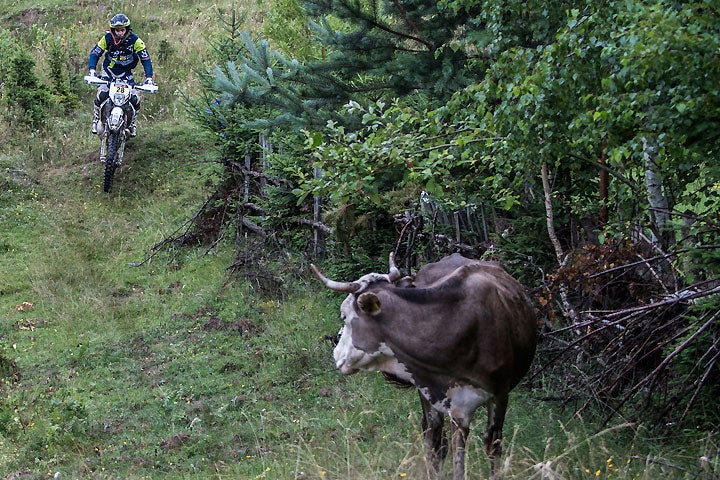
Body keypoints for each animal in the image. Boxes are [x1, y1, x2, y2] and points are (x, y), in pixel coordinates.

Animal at [312, 253, 536, 478]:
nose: (336, 353)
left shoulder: (499, 394)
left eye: (344, 315)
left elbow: (491, 445)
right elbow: (440, 444)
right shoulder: (438, 396)